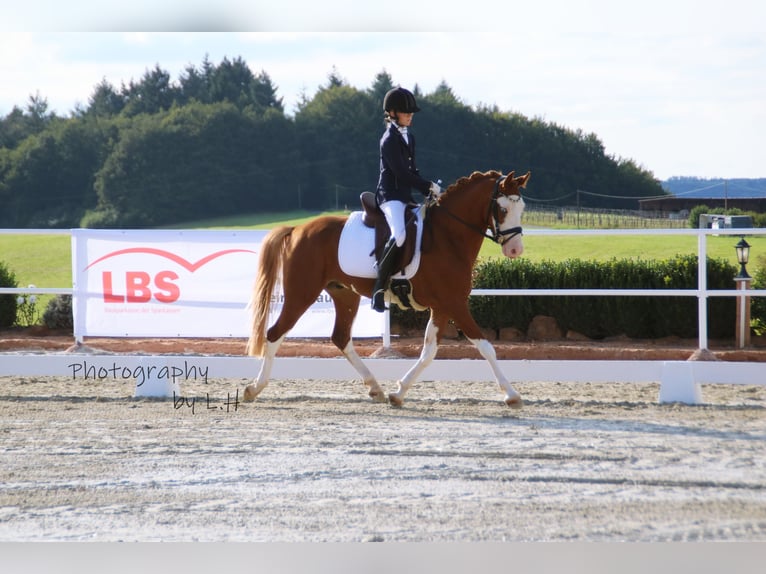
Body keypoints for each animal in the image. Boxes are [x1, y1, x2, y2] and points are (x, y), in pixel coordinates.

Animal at [248, 169, 536, 408]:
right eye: (501, 208)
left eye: (521, 206)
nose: (515, 250)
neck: (448, 237)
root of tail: (297, 229)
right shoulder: (455, 304)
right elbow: (486, 347)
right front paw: (512, 395)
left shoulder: (443, 306)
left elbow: (429, 351)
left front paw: (398, 393)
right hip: (302, 293)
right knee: (275, 333)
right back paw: (254, 388)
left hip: (345, 294)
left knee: (340, 337)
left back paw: (375, 388)